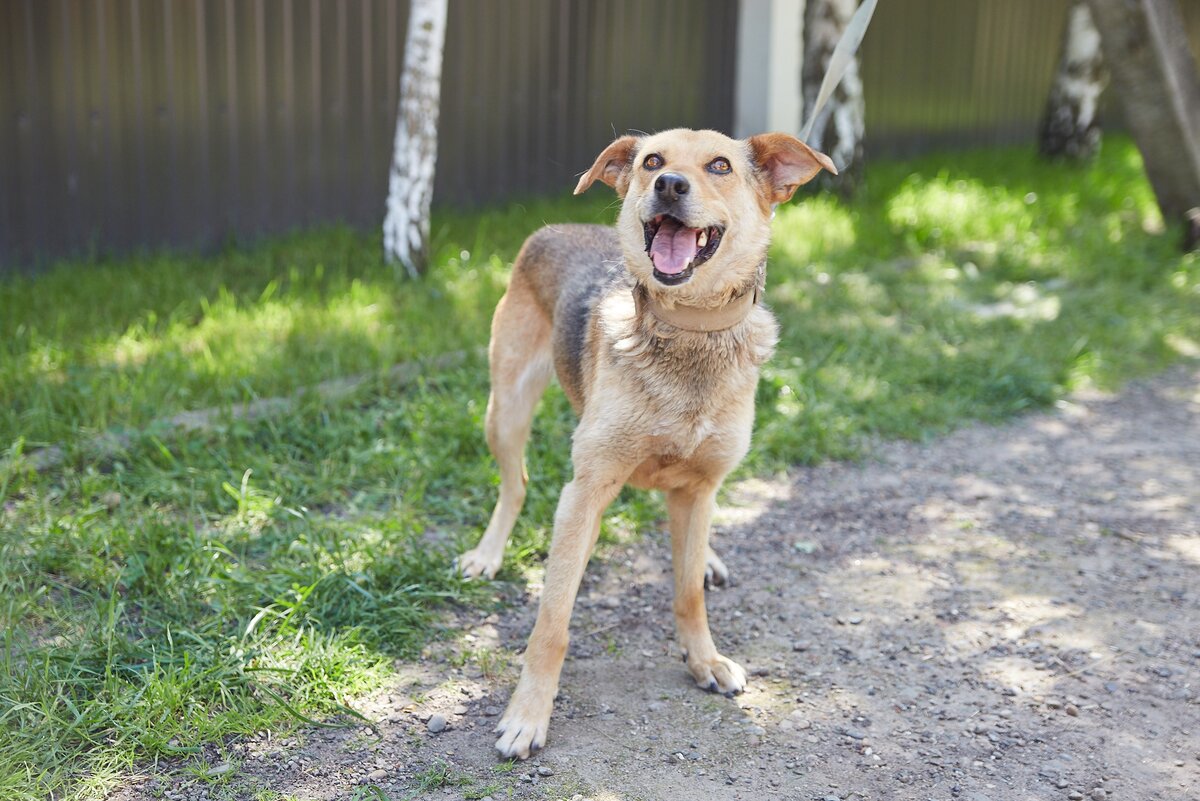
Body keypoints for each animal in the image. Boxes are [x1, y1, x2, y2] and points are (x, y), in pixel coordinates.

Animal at [456, 126, 835, 757]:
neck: (689, 327)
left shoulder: (700, 486)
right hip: (505, 411)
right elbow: (552, 623)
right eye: (652, 161)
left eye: (720, 166)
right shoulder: (586, 489)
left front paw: (704, 660)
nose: (670, 185)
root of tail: (553, 228)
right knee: (516, 484)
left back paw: (706, 557)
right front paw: (528, 715)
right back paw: (488, 553)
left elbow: (687, 596)